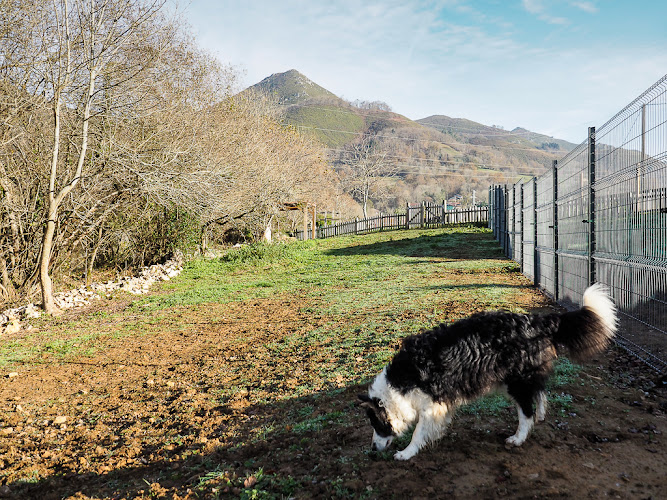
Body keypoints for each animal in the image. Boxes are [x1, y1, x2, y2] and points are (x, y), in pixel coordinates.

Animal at [358, 286, 620, 460]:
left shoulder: (432, 404)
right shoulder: (439, 405)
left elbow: (418, 432)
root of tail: (537, 321)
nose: (372, 449)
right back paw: (541, 415)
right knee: (540, 392)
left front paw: (406, 453)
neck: (398, 385)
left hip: (516, 382)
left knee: (526, 412)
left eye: (376, 424)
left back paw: (518, 438)